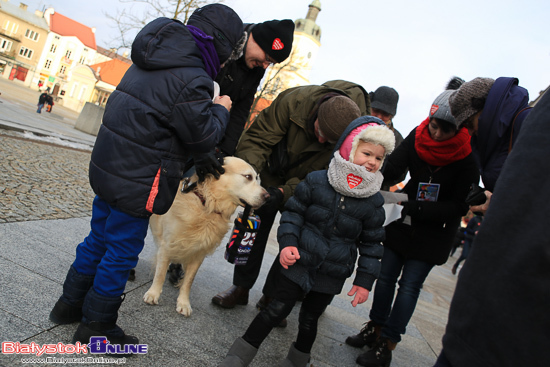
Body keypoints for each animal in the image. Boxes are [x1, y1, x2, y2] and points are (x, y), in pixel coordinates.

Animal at [144, 157, 270, 316]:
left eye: (258, 179)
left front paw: (183, 303)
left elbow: (188, 281)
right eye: (248, 177)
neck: (206, 204)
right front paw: (153, 293)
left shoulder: (199, 253)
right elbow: (160, 274)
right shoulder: (167, 245)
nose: (268, 197)